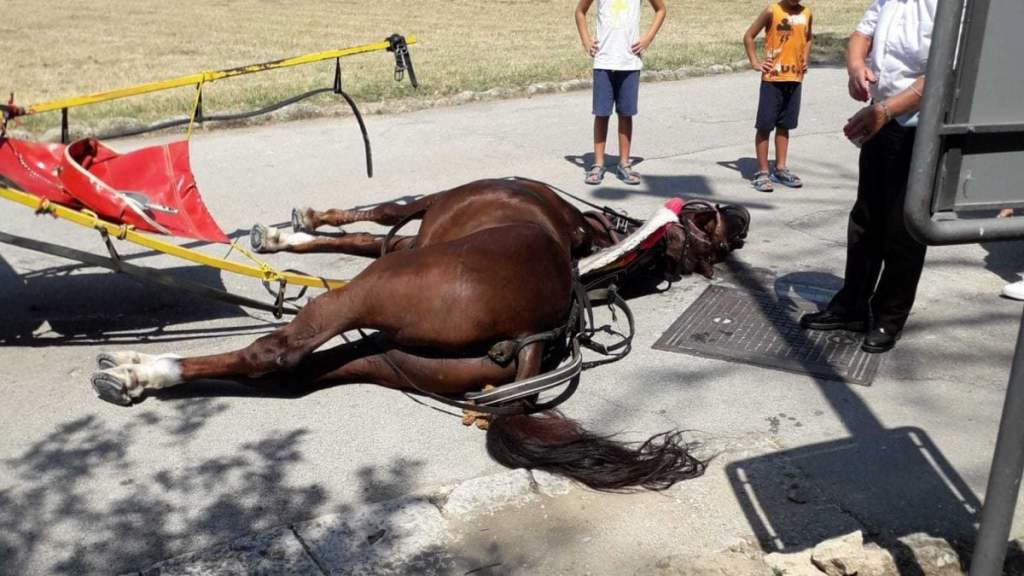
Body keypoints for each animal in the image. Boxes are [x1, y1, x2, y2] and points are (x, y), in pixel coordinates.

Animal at [91, 177, 749, 491]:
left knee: (278, 353)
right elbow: (360, 236)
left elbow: (377, 216)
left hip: (367, 294)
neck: (589, 240)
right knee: (299, 375)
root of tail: (533, 335)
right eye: (711, 221)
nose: (742, 216)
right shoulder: (411, 239)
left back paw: (142, 372)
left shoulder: (422, 215)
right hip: (388, 356)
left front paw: (295, 228)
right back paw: (145, 375)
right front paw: (284, 237)